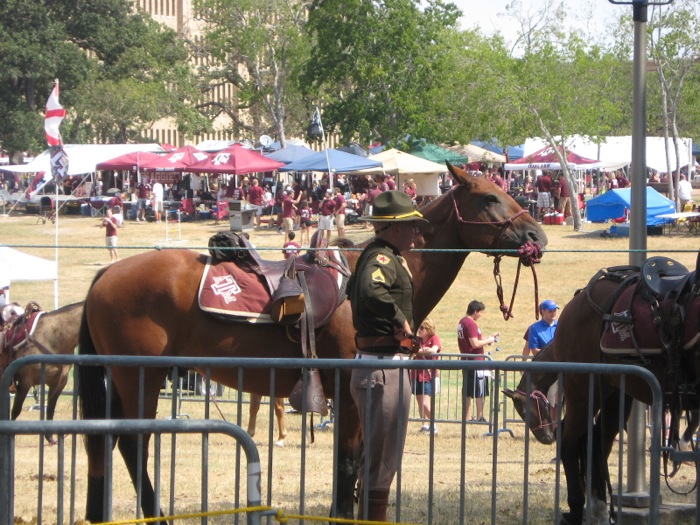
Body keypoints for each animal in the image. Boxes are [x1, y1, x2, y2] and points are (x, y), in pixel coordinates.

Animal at [75, 162, 548, 520]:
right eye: (488, 198)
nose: (536, 236)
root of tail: (106, 274)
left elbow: (353, 464)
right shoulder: (350, 393)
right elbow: (349, 462)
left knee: (107, 442)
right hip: (140, 377)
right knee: (132, 444)